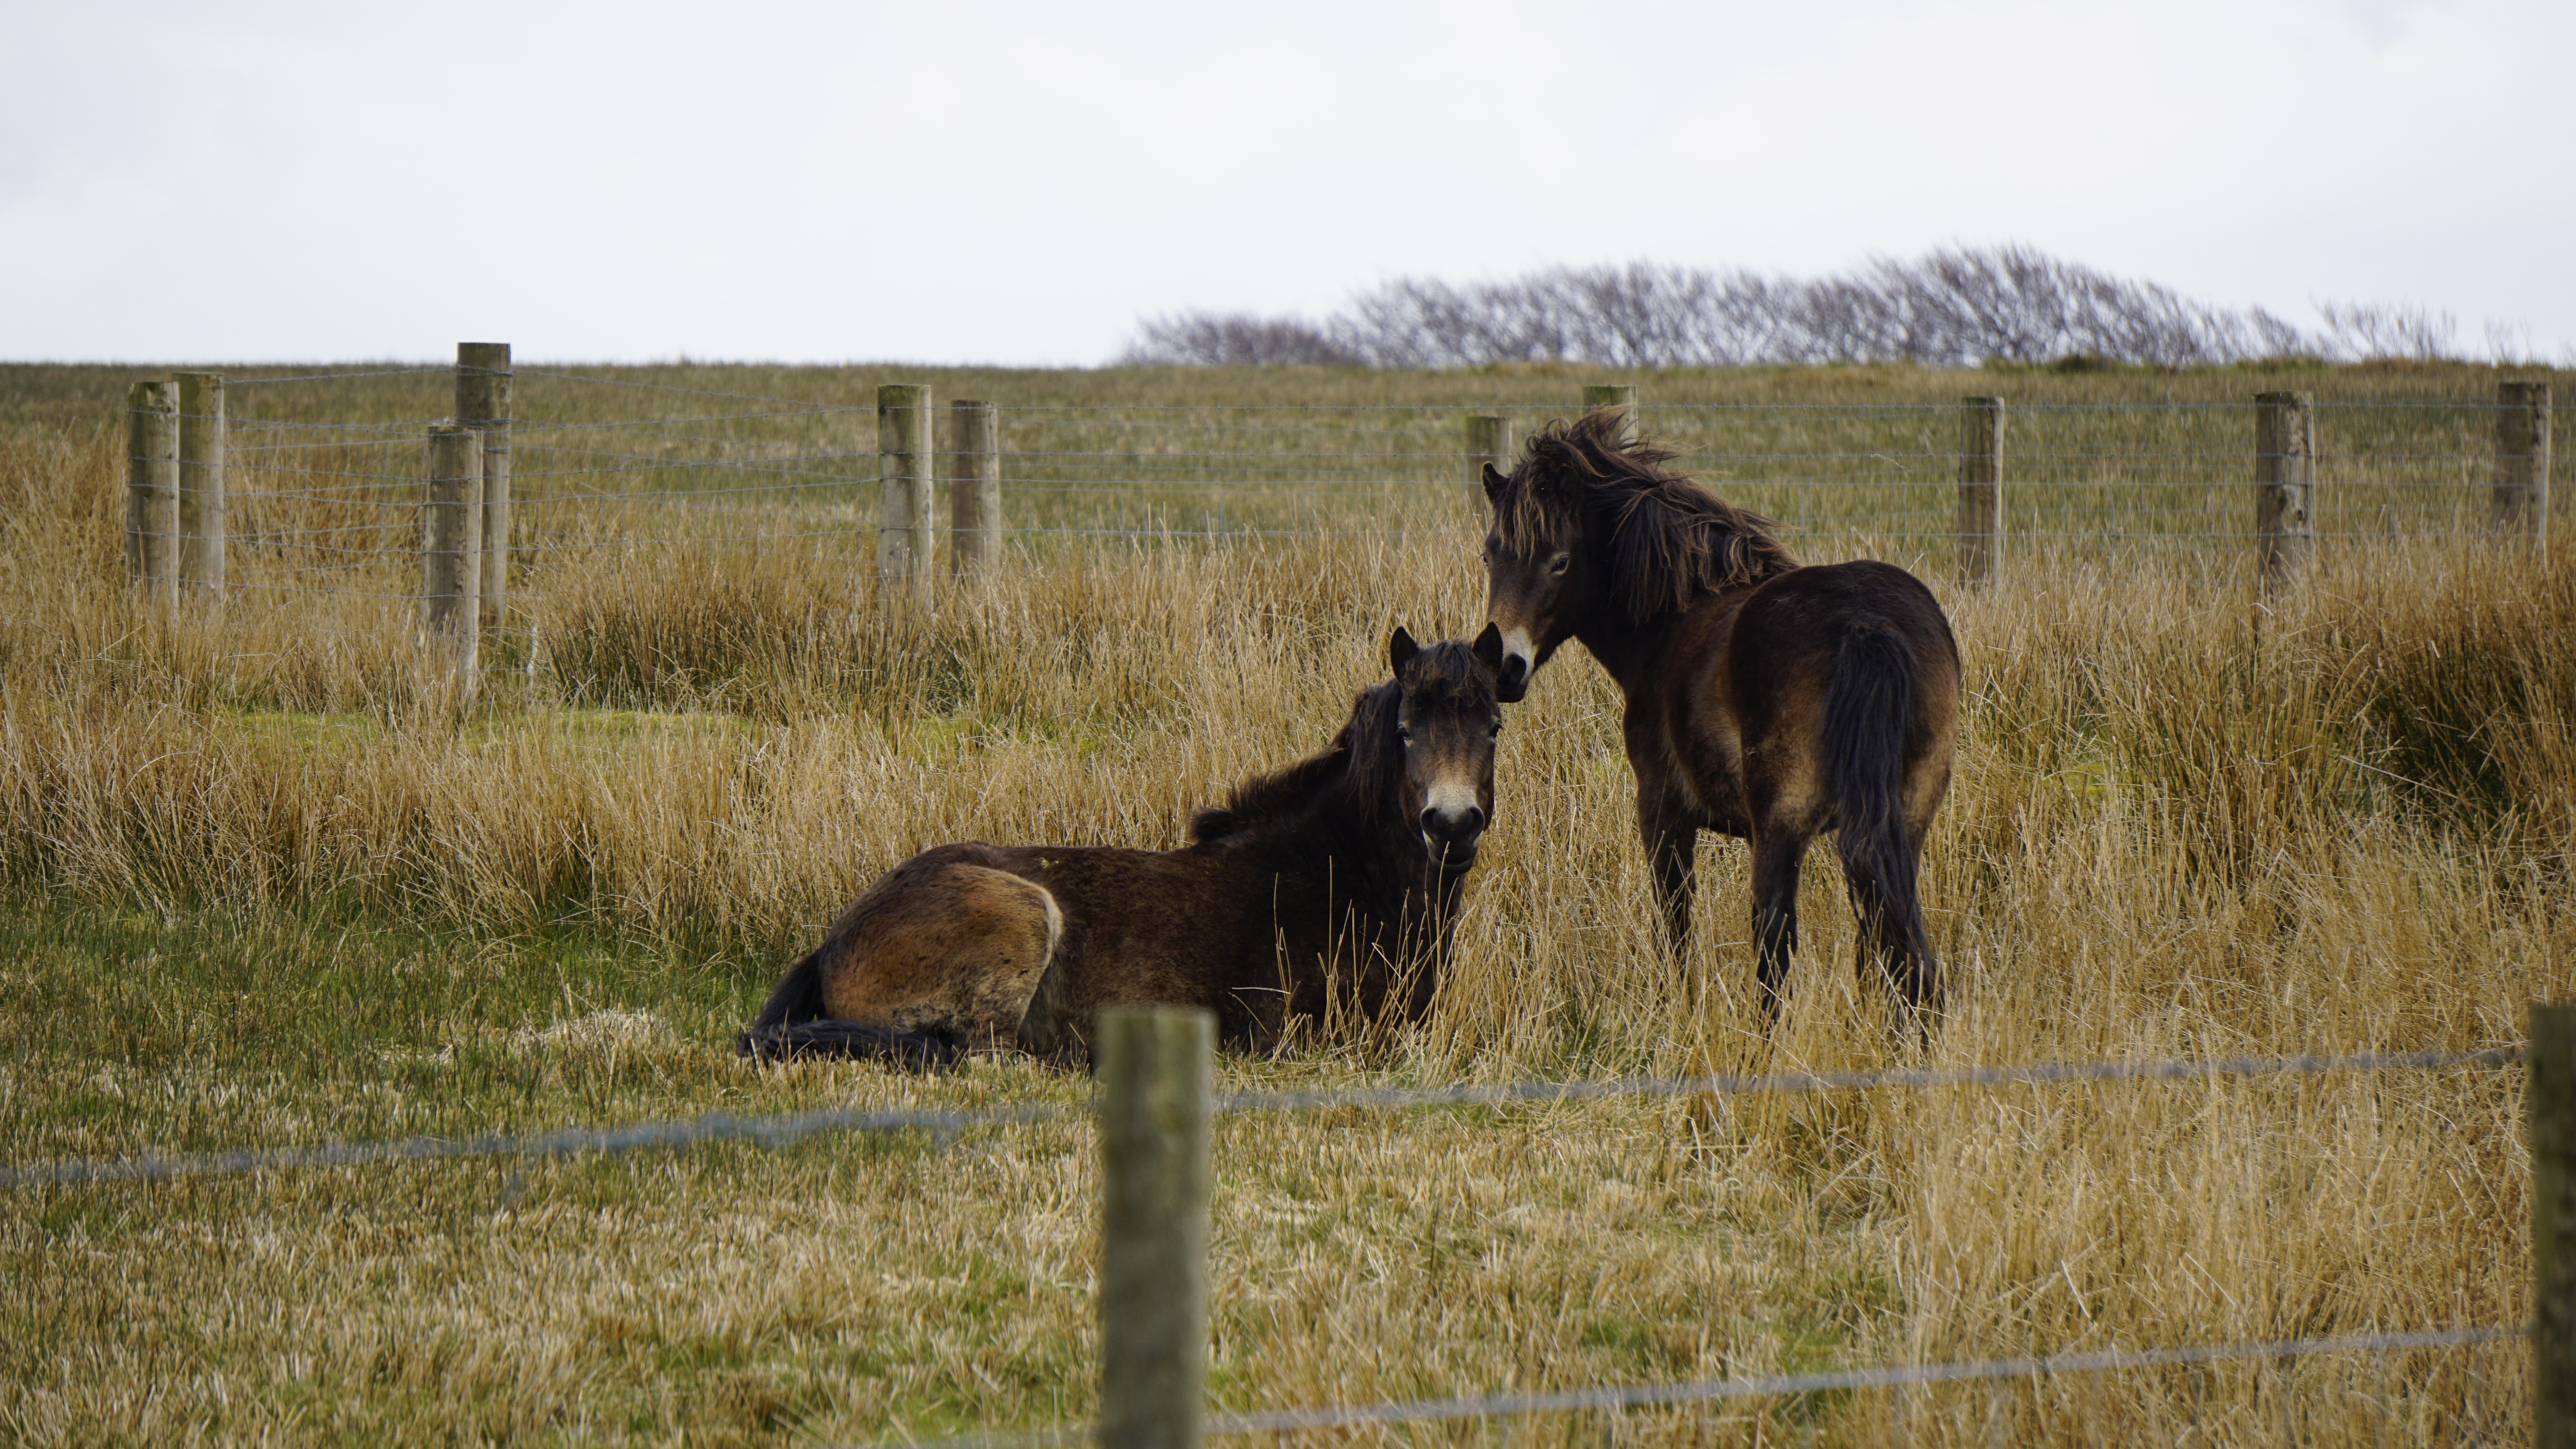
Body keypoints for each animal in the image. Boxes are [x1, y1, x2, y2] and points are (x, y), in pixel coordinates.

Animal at [741, 626, 1508, 1066]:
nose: (1452, 826)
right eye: (1406, 732)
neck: (1336, 874)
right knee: (985, 1057)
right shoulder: (1310, 1035)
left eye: (1494, 728)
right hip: (1022, 920)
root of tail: (835, 940)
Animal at [1478, 411, 1961, 1025]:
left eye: (1559, 561)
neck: (1675, 619)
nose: (1503, 668)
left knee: (1776, 946)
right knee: (1895, 942)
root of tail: (1864, 625)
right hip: (1904, 823)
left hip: (1782, 830)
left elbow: (1676, 927)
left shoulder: (1663, 812)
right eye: (1490, 556)